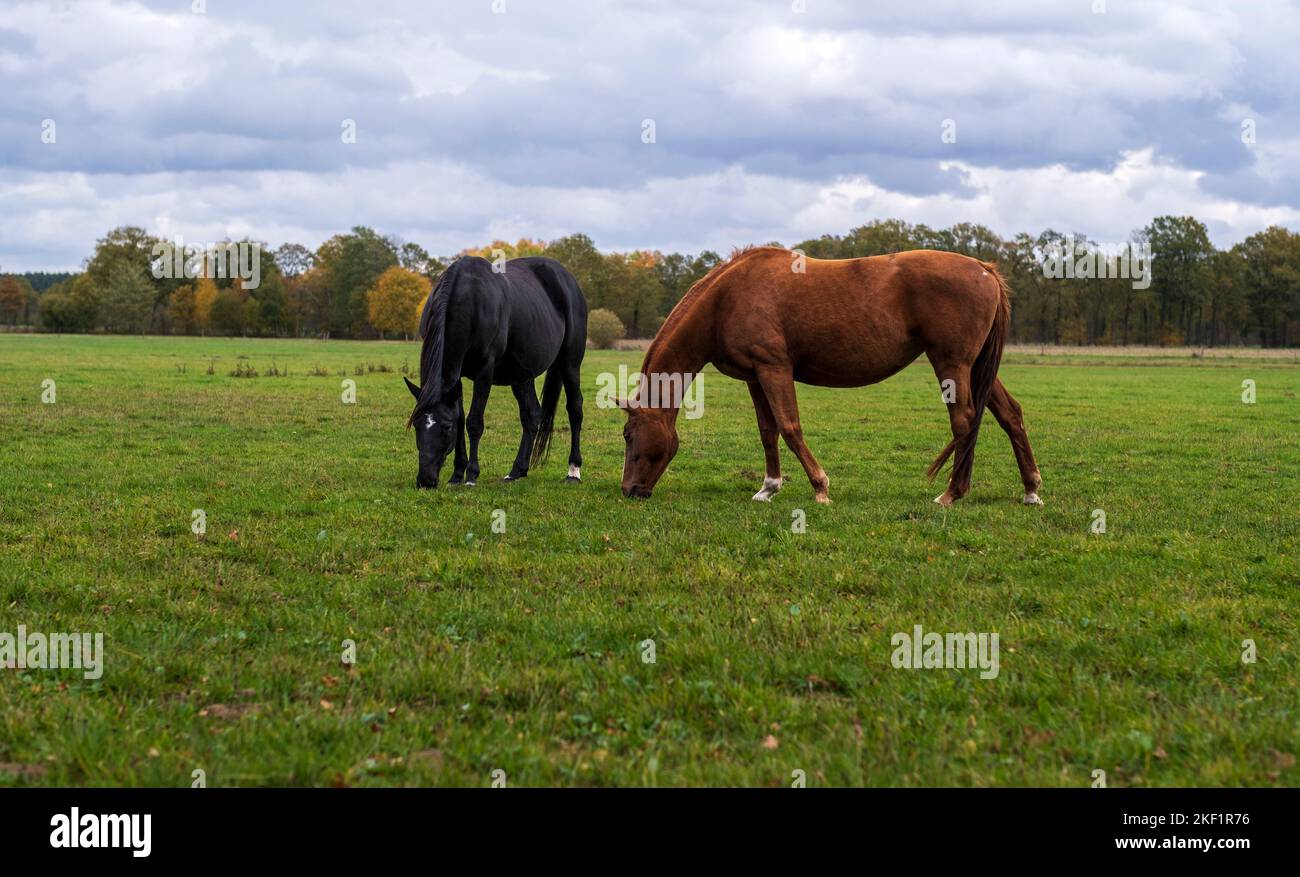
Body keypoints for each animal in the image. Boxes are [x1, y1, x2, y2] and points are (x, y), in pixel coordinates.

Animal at [406, 255, 587, 489]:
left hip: (570, 363)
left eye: (445, 427)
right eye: (417, 425)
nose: (425, 481)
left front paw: (471, 475)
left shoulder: (485, 370)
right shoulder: (457, 376)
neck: (467, 300)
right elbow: (461, 419)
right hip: (521, 375)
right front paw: (457, 474)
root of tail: (568, 279)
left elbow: (474, 422)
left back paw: (573, 470)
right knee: (532, 415)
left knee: (575, 408)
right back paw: (517, 470)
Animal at [619, 246, 1042, 506]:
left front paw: (820, 487)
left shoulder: (774, 368)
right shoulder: (755, 376)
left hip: (952, 364)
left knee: (964, 422)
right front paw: (768, 488)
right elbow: (768, 432)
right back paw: (1030, 489)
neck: (726, 299)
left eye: (628, 435)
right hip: (976, 367)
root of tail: (984, 270)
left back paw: (952, 493)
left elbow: (790, 428)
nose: (629, 489)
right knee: (1010, 415)